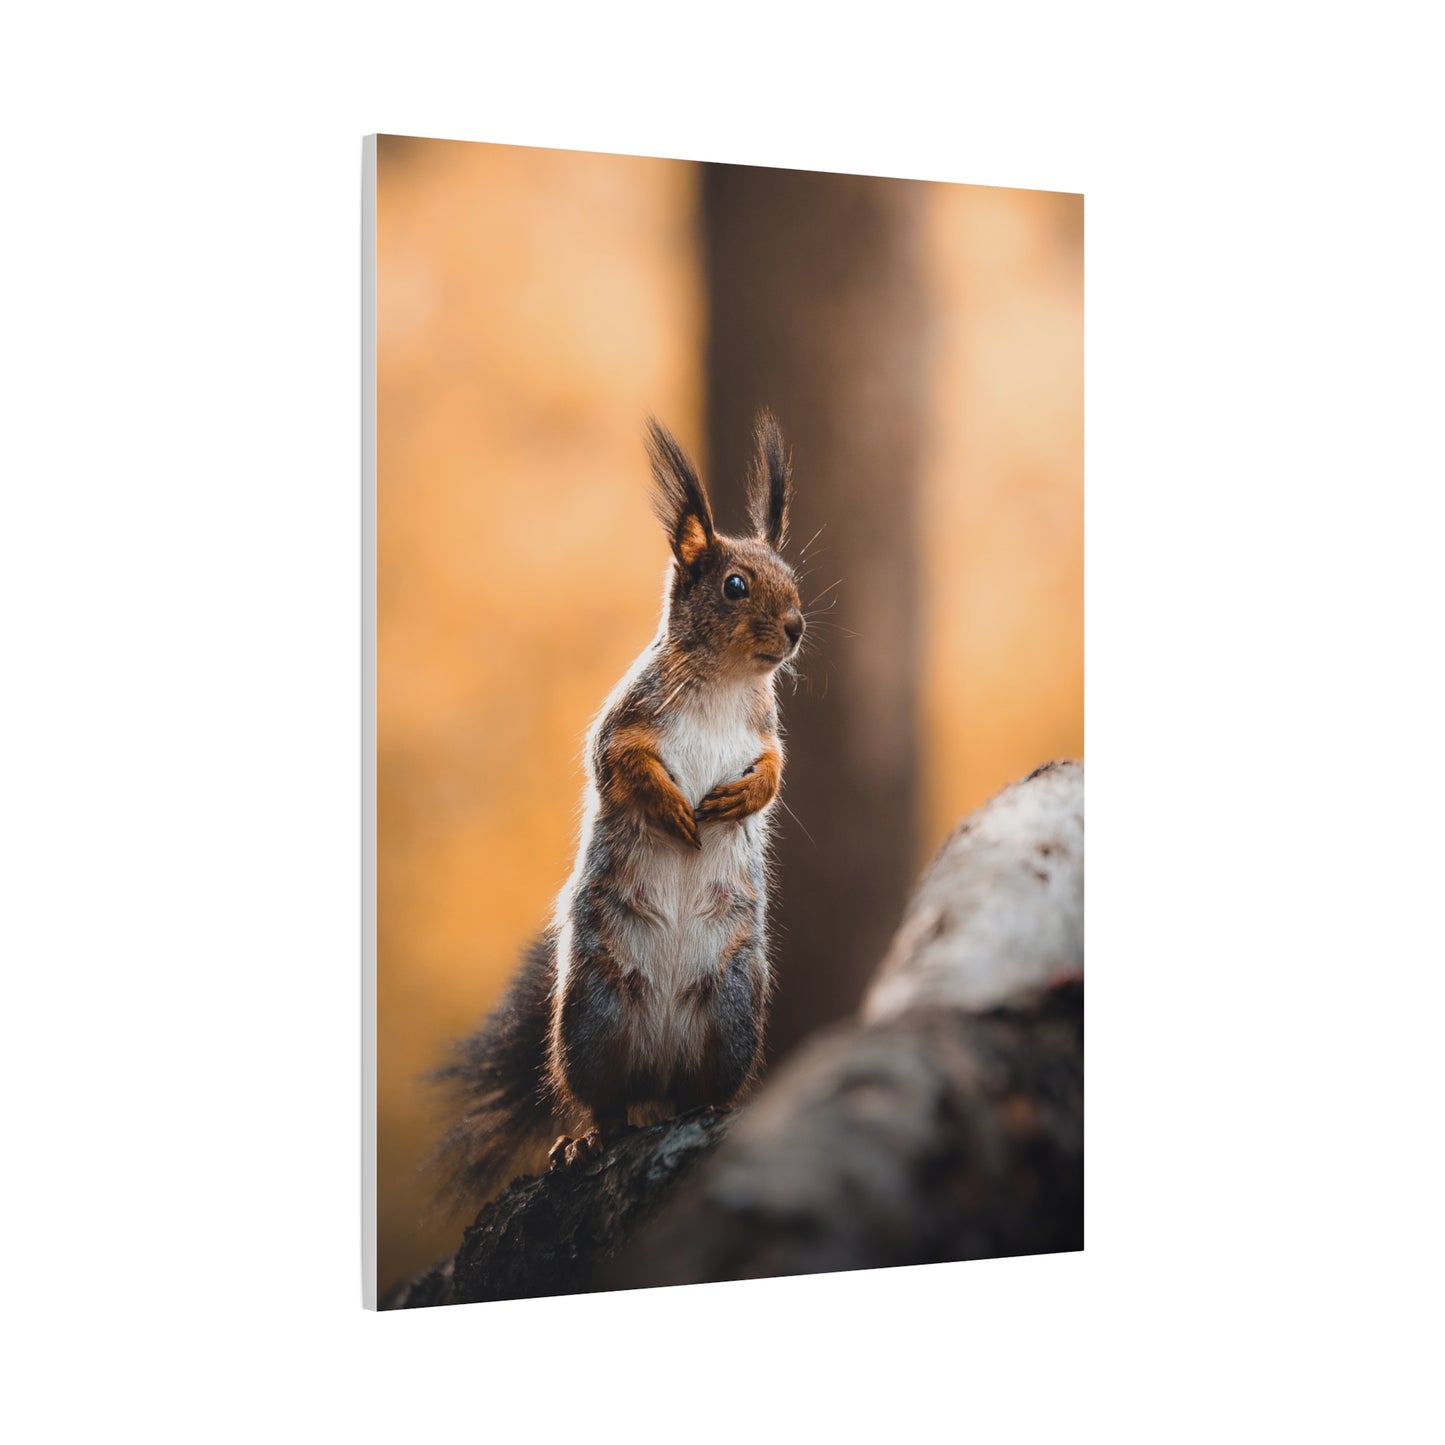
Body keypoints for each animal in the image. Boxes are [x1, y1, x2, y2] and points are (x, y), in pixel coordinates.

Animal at [429, 410, 806, 1210]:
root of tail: (658, 1068)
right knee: (605, 1101)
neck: (727, 682)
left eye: (794, 580)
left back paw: (706, 1108)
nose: (795, 627)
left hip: (732, 1011)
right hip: (591, 1020)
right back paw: (588, 1138)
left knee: (699, 1090)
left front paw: (740, 797)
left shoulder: (765, 733)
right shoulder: (627, 719)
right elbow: (619, 765)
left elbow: (774, 774)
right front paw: (674, 810)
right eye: (734, 585)